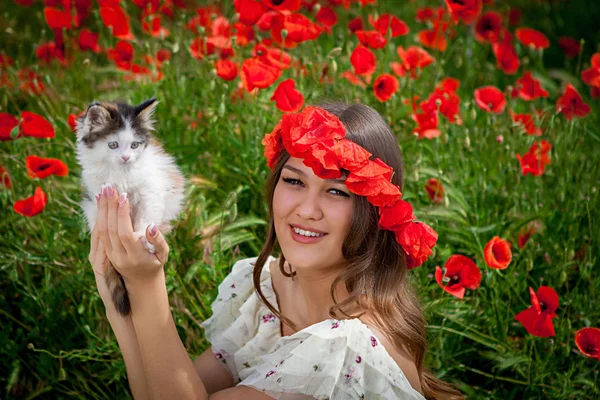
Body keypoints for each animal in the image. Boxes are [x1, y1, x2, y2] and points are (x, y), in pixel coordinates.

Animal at [77, 97, 185, 316]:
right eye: (113, 145)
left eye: (134, 145)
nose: (126, 157)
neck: (121, 172)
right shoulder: (96, 195)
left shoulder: (151, 189)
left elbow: (146, 215)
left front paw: (143, 237)